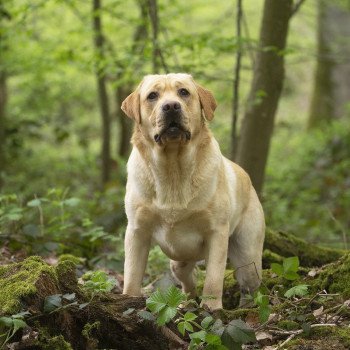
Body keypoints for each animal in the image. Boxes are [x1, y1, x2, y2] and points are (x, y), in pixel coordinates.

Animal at [121, 74, 266, 308]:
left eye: (183, 92)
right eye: (152, 96)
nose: (171, 106)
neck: (173, 169)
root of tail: (247, 176)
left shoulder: (217, 232)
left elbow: (214, 279)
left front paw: (212, 309)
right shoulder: (137, 231)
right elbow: (132, 273)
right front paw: (129, 301)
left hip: (248, 255)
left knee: (249, 285)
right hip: (178, 260)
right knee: (186, 276)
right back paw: (185, 302)